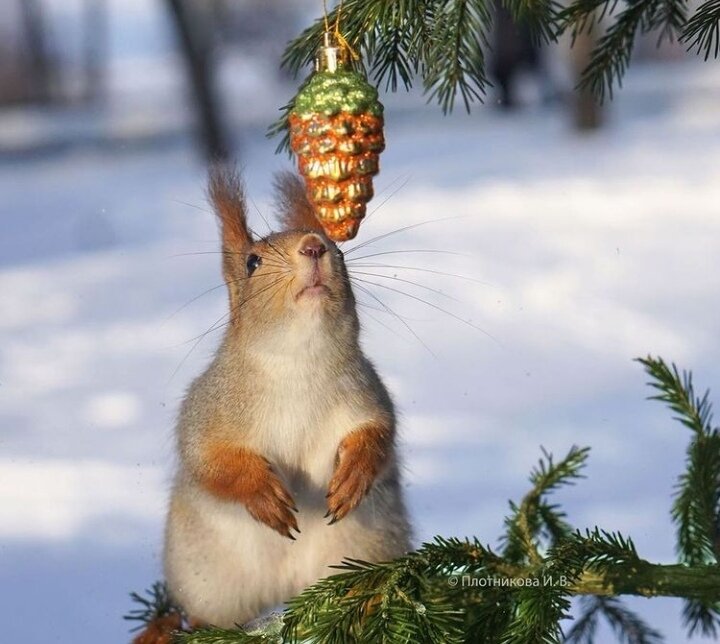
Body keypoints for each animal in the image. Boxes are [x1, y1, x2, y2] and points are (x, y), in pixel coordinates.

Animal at [143, 166, 410, 632]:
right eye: (253, 262)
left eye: (340, 251)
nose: (315, 247)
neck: (299, 360)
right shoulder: (209, 409)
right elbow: (209, 461)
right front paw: (262, 493)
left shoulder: (369, 398)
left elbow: (379, 436)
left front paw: (353, 475)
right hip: (207, 580)